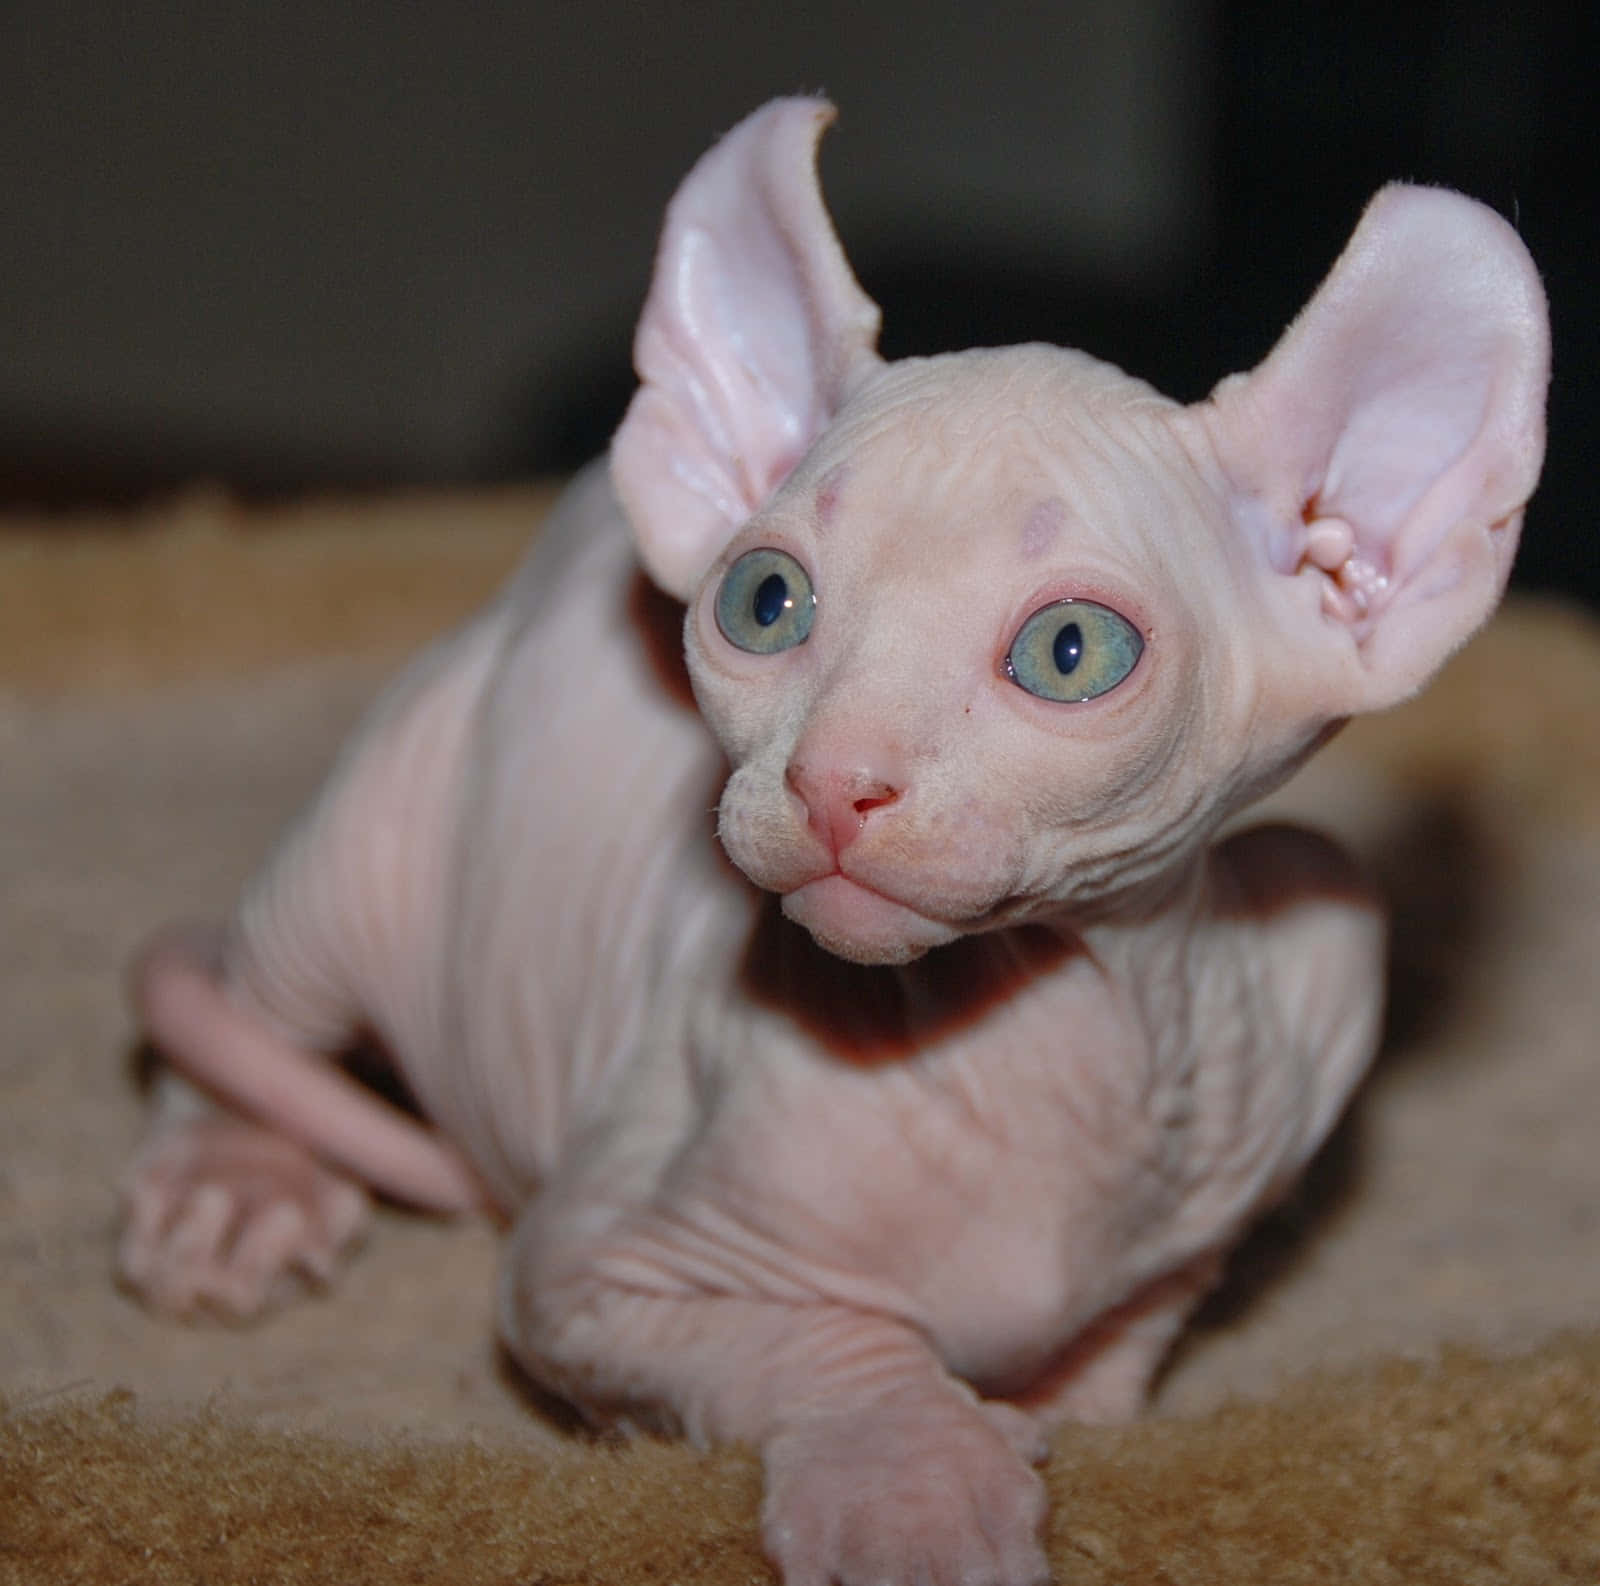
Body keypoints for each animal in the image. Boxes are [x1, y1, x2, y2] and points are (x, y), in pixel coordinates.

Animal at [121, 102, 1548, 1586]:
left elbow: (1138, 1317)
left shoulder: (1306, 1009)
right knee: (262, 991)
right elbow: (825, 1338)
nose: (832, 781)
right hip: (394, 804)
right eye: (765, 601)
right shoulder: (591, 1264)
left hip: (1330, 899)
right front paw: (917, 1486)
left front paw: (1052, 1400)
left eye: (1071, 651)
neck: (1040, 1039)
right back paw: (231, 1180)